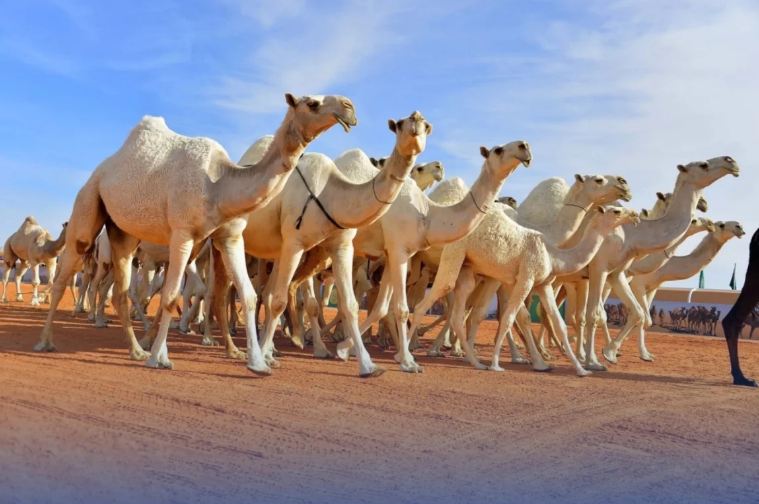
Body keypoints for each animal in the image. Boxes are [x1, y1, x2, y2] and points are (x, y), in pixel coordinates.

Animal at [35, 93, 356, 378]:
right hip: (88, 201)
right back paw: (46, 342)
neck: (218, 185)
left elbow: (248, 295)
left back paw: (136, 350)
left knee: (121, 290)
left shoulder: (228, 237)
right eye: (312, 103)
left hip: (123, 233)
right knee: (66, 274)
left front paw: (257, 363)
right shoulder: (182, 233)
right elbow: (170, 296)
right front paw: (159, 359)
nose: (349, 107)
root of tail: (102, 168)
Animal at [206, 111, 434, 378]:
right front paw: (265, 357)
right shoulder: (294, 242)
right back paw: (233, 347)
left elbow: (350, 304)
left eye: (426, 126)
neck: (331, 194)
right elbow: (279, 300)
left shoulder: (341, 245)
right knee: (219, 292)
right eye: (400, 124)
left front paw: (367, 365)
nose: (415, 123)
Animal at [568, 156, 736, 368]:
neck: (632, 235)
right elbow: (607, 315)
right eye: (703, 165)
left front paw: (619, 352)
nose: (730, 161)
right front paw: (601, 356)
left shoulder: (625, 276)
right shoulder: (610, 272)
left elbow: (640, 315)